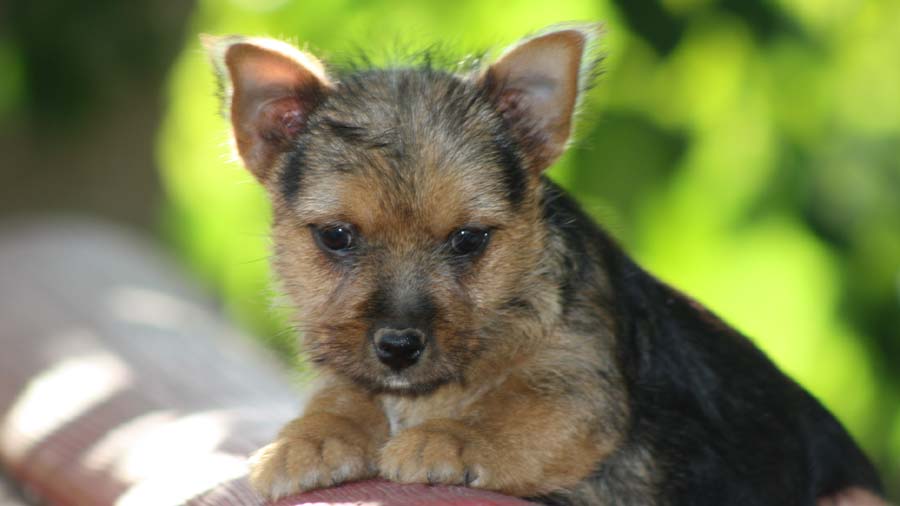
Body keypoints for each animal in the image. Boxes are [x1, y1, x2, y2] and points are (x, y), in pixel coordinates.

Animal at [200, 24, 884, 506]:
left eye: (469, 240)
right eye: (336, 237)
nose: (398, 348)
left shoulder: (579, 388)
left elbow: (512, 412)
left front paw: (446, 439)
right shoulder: (354, 369)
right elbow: (340, 396)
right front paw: (306, 441)